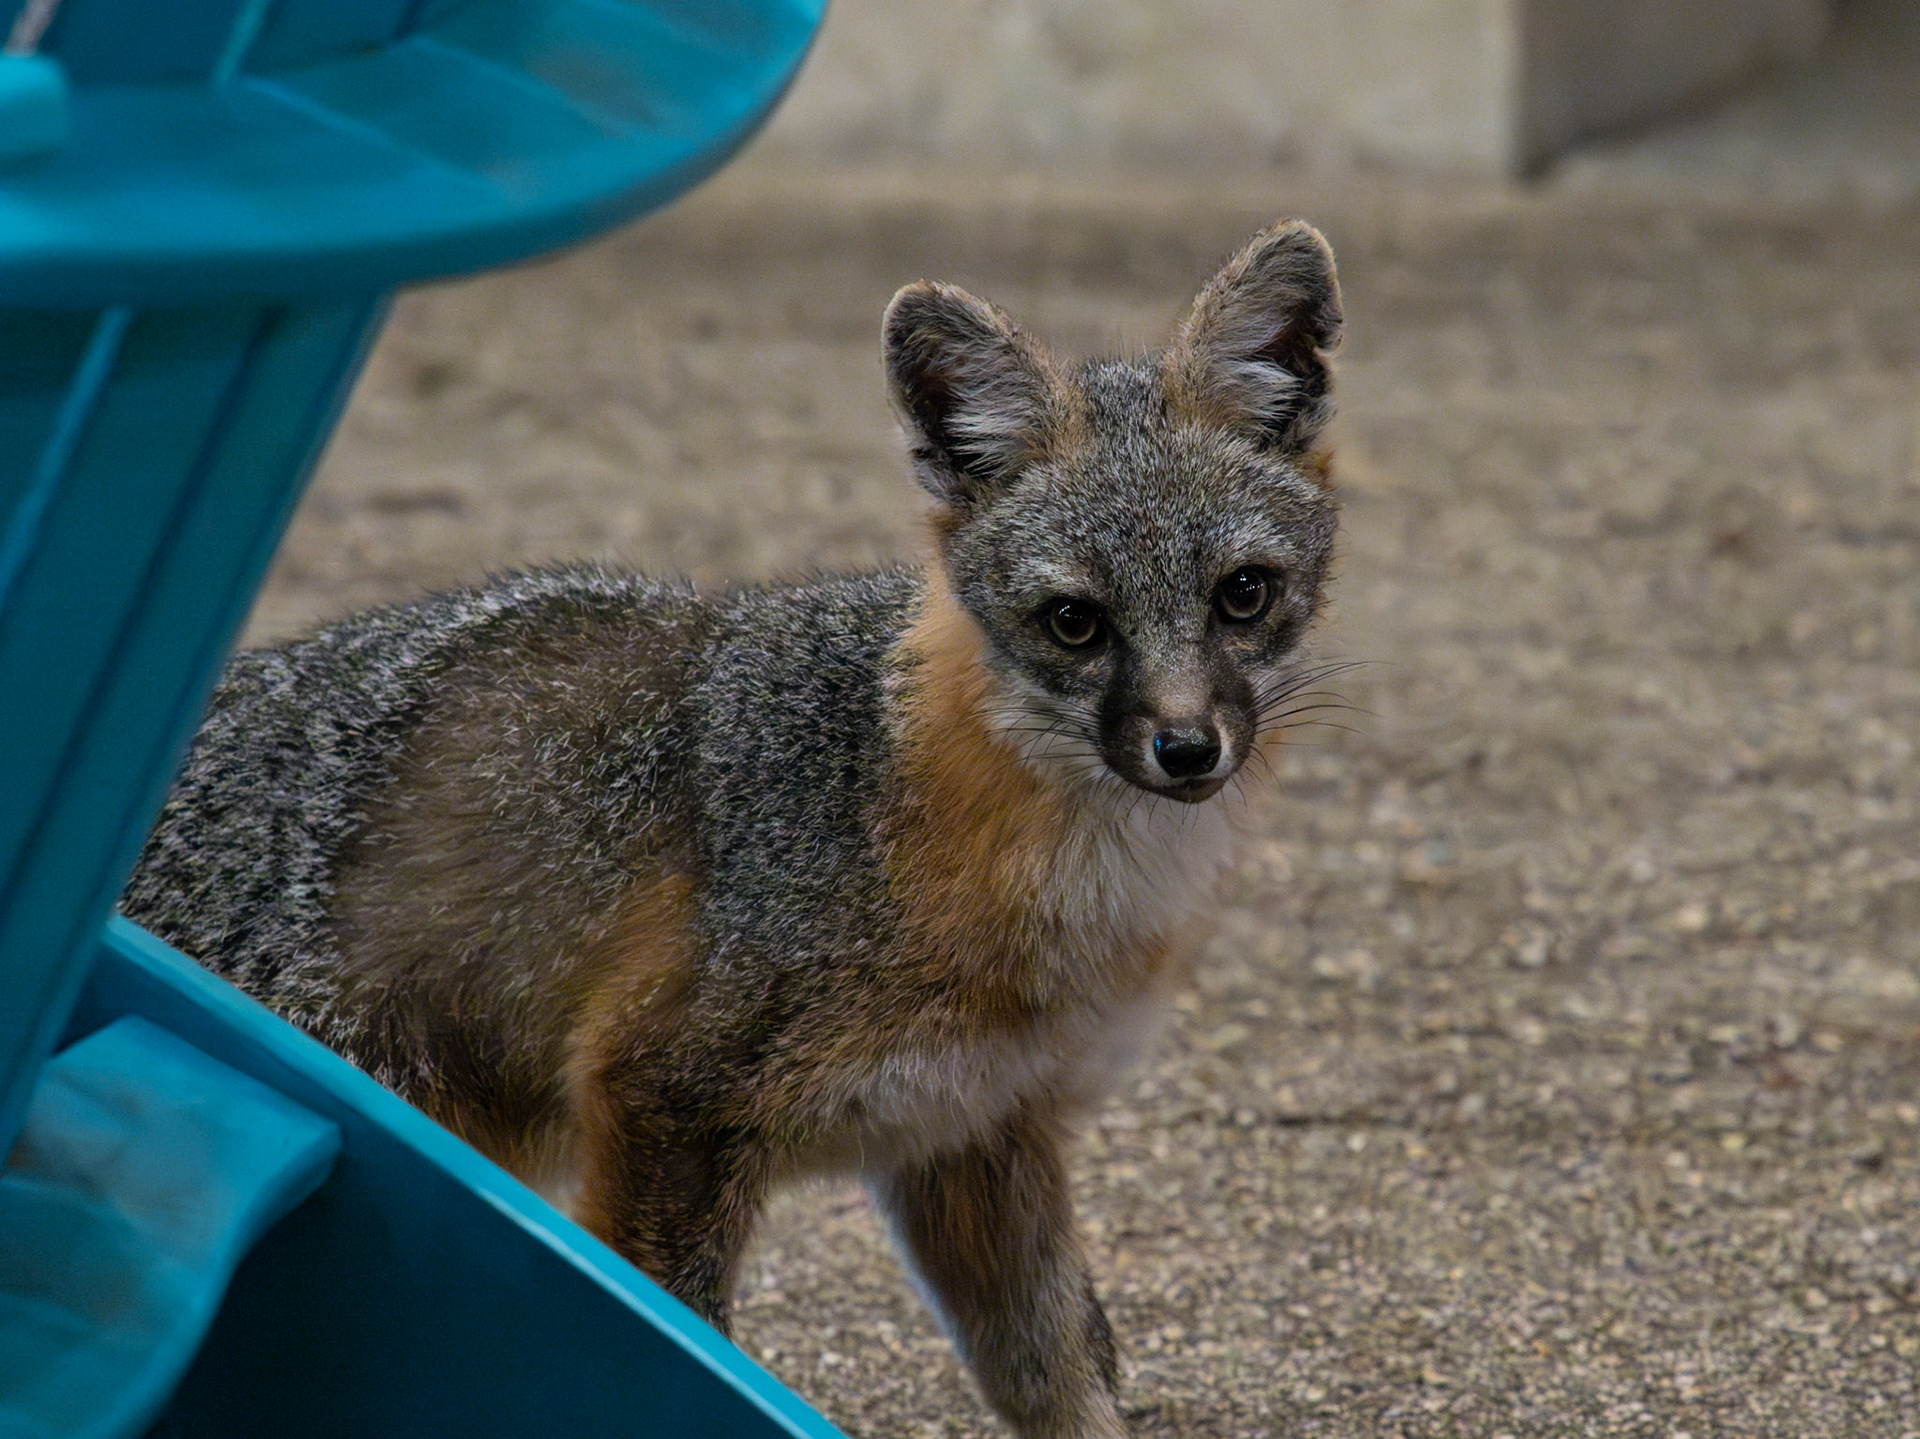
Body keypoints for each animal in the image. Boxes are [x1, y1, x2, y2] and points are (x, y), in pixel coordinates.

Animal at [121, 219, 1343, 1439]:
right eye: (1076, 623)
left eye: (1242, 594)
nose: (1186, 748)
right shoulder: (666, 1100)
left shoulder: (980, 1128)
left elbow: (1061, 1370)